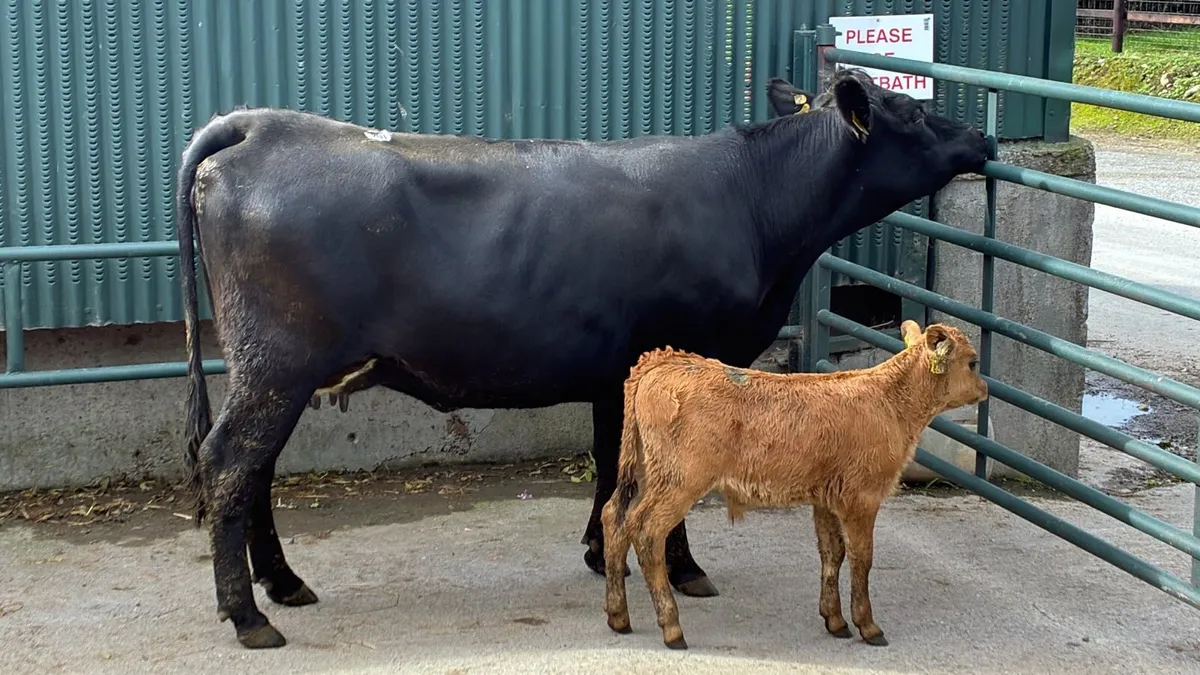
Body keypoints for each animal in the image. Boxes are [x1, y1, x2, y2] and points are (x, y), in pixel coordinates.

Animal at [174, 68, 989, 648]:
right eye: (911, 111)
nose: (982, 136)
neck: (755, 206)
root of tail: (261, 126)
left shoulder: (615, 375)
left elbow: (611, 467)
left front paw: (605, 553)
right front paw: (683, 569)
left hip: (270, 368)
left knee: (253, 468)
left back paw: (283, 584)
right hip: (277, 363)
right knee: (230, 461)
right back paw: (248, 615)